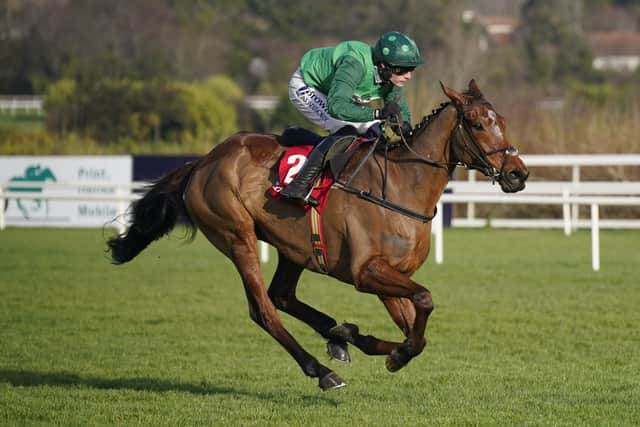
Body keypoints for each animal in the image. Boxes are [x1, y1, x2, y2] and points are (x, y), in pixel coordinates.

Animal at [107, 80, 529, 391]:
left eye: (503, 120)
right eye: (477, 124)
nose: (518, 173)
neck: (401, 186)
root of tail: (202, 162)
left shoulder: (389, 277)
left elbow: (417, 333)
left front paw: (384, 347)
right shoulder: (367, 273)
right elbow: (424, 300)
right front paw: (390, 351)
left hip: (292, 248)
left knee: (282, 295)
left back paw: (341, 335)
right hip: (236, 235)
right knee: (264, 309)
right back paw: (323, 371)